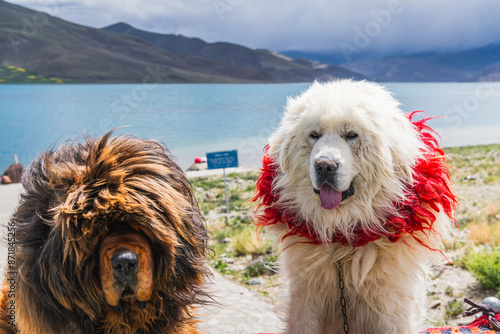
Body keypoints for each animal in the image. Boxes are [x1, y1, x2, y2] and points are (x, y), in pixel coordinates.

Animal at [254, 80, 458, 334]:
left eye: (351, 135)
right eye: (314, 135)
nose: (324, 166)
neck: (342, 237)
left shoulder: (392, 303)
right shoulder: (306, 295)